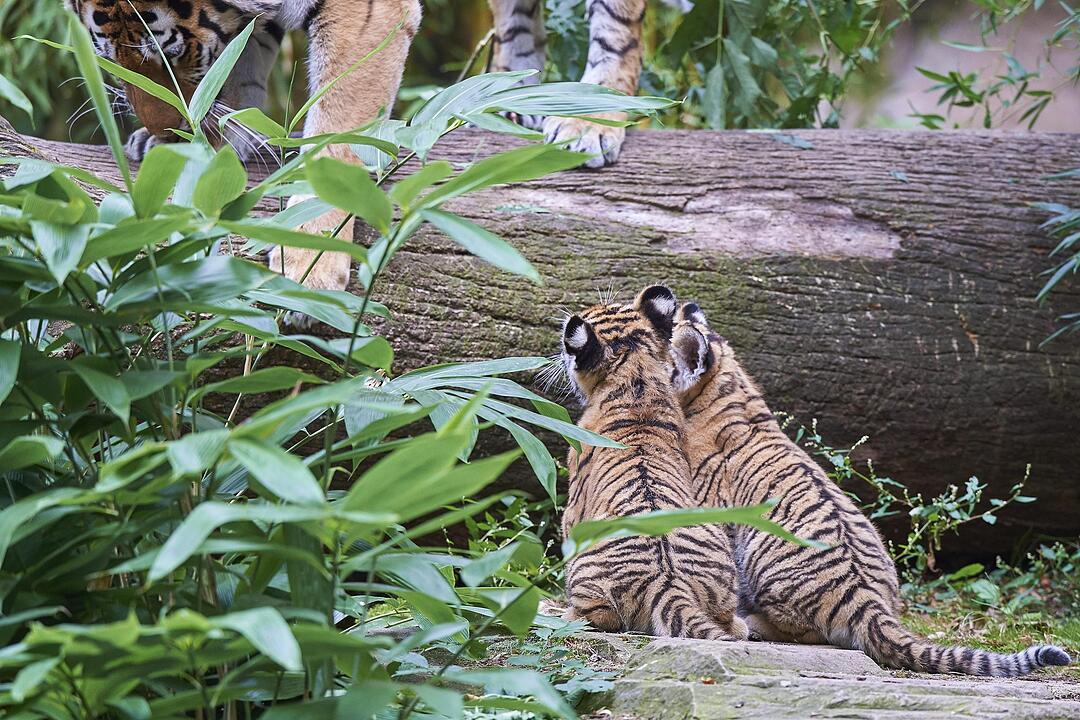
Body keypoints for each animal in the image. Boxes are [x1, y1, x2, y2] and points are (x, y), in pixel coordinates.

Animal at [67, 0, 421, 295]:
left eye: (172, 54)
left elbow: (335, 129)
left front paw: (310, 261)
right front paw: (208, 152)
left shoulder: (366, 12)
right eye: (111, 60)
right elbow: (238, 70)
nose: (161, 128)